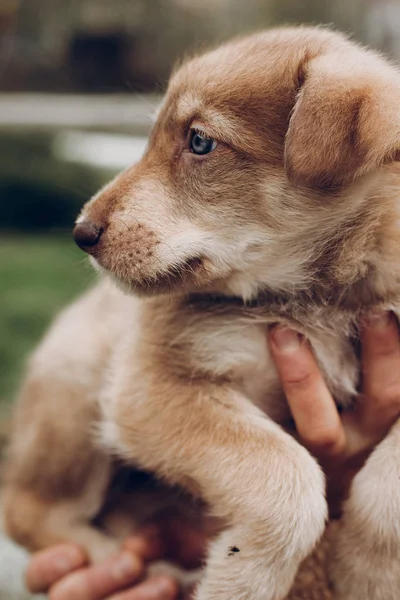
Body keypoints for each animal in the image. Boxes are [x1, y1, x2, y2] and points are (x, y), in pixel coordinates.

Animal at [4, 27, 400, 600]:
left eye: (199, 142)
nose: (81, 234)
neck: (316, 296)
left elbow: (388, 483)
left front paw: (366, 571)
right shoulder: (150, 383)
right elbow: (286, 473)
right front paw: (242, 579)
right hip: (76, 381)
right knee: (26, 507)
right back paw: (124, 566)